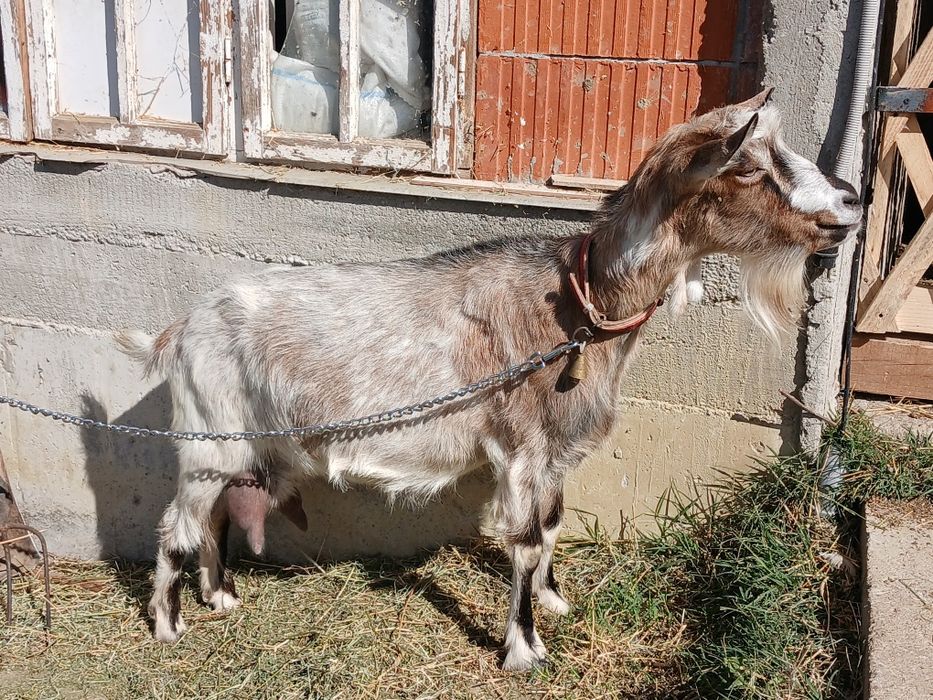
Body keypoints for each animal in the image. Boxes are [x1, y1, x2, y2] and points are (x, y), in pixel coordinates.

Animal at [117, 88, 861, 670]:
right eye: (749, 168)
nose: (851, 200)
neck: (579, 308)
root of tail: (180, 328)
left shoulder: (555, 454)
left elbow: (553, 529)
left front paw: (555, 602)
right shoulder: (523, 449)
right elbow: (525, 543)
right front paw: (524, 648)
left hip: (241, 444)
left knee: (214, 515)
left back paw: (219, 595)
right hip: (208, 437)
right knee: (175, 525)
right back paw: (168, 625)